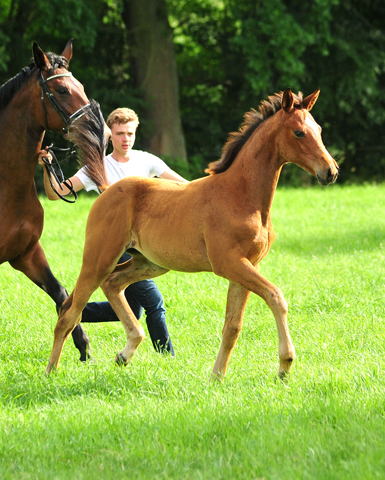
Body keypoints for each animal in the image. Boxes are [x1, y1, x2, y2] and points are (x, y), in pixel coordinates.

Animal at [0, 39, 106, 360]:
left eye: (80, 86)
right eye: (60, 90)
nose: (102, 130)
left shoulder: (26, 253)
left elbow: (61, 294)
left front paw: (84, 349)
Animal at [46, 89, 338, 378]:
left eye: (319, 130)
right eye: (299, 132)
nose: (331, 171)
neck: (241, 196)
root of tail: (107, 190)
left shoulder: (247, 266)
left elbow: (233, 326)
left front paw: (217, 377)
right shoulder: (229, 263)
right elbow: (276, 297)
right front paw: (285, 364)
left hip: (149, 263)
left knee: (112, 284)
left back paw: (125, 352)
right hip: (99, 259)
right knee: (69, 312)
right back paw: (51, 372)